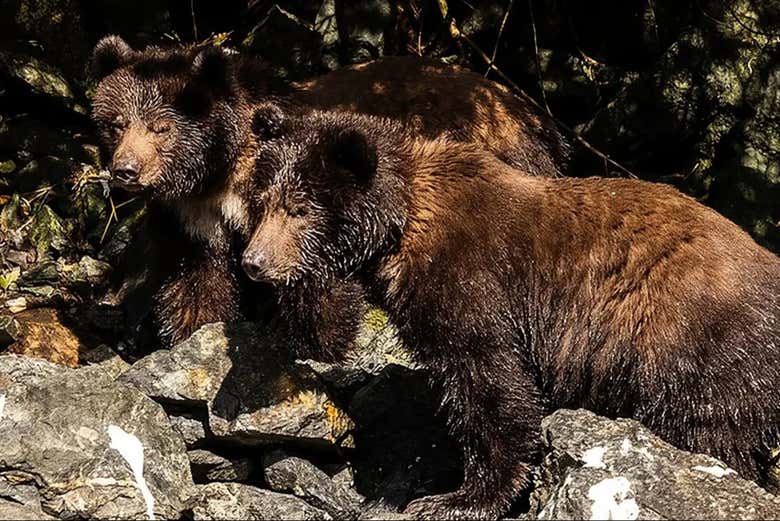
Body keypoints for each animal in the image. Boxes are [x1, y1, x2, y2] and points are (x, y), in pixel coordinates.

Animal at [90, 35, 568, 349]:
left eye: (161, 127)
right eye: (116, 122)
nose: (126, 170)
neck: (220, 170)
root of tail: (529, 109)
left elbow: (312, 275)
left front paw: (322, 340)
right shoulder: (196, 217)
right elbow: (197, 280)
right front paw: (190, 330)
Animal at [239, 108, 780, 519]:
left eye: (300, 208)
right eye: (264, 202)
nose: (253, 262)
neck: (400, 229)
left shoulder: (473, 279)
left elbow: (488, 382)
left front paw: (455, 498)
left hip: (688, 343)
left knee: (705, 433)